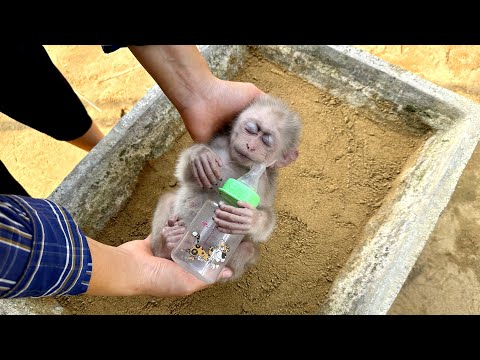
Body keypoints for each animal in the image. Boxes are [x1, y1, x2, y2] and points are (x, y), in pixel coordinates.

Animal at [151, 94, 300, 282]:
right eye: (251, 130)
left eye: (266, 141)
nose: (250, 145)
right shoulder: (218, 143)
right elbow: (186, 176)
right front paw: (199, 155)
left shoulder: (265, 182)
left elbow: (265, 218)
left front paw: (251, 218)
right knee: (168, 199)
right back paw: (165, 245)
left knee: (248, 249)